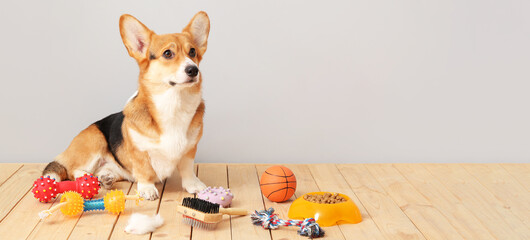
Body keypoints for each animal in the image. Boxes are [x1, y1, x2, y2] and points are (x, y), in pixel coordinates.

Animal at [42, 11, 210, 200]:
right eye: (168, 53)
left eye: (193, 52)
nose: (193, 70)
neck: (173, 104)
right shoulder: (139, 151)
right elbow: (144, 170)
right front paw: (147, 189)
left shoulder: (190, 150)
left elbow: (188, 169)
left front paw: (193, 185)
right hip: (94, 140)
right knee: (72, 170)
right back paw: (87, 178)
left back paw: (105, 177)